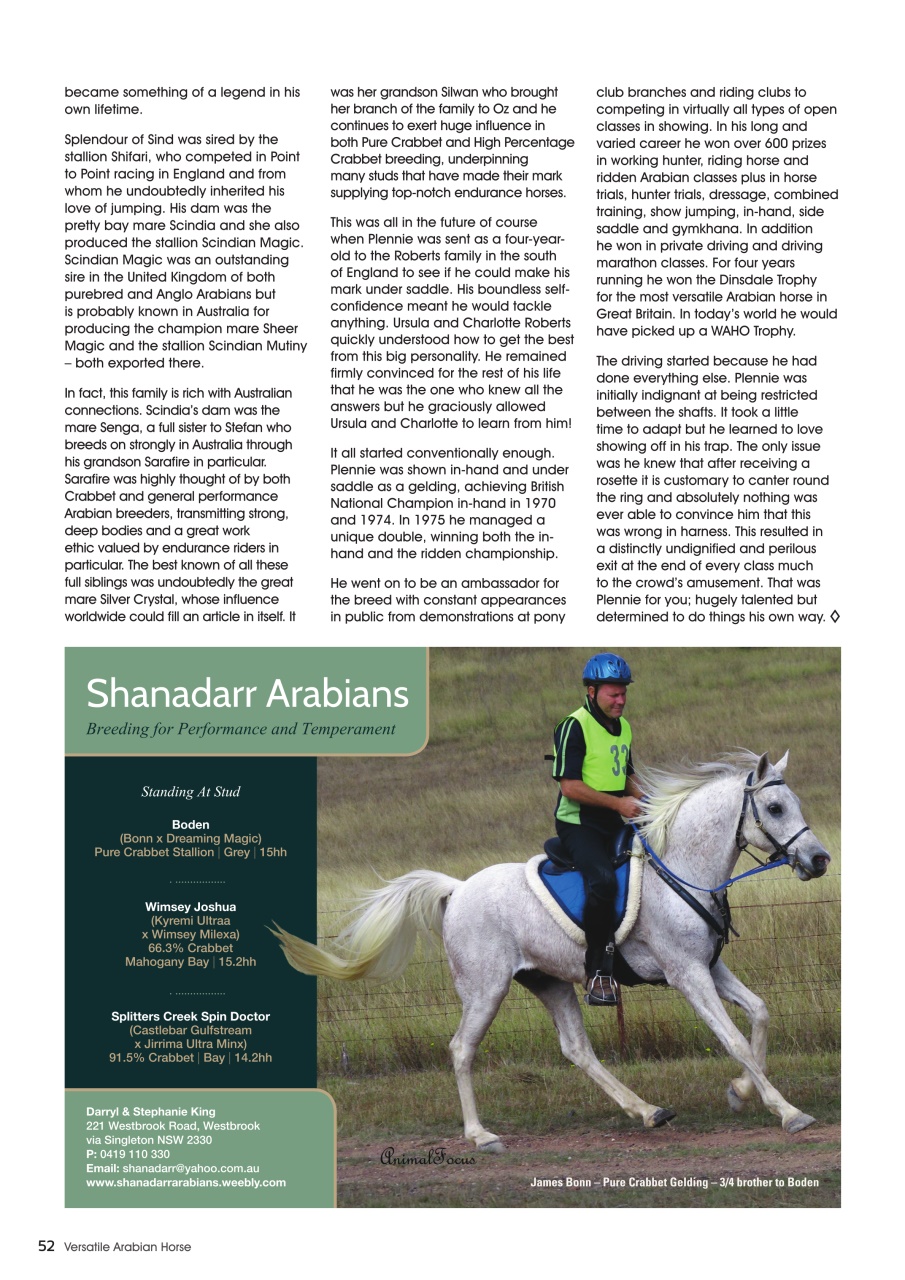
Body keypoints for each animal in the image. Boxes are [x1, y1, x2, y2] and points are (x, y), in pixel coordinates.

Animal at [273, 751, 832, 1151]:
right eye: (776, 808)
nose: (819, 859)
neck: (683, 867)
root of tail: (457, 889)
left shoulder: (710, 968)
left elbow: (759, 1013)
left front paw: (741, 1092)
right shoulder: (687, 973)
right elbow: (734, 1039)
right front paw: (787, 1111)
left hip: (551, 982)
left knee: (577, 1050)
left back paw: (647, 1110)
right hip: (486, 989)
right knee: (461, 1049)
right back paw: (481, 1135)